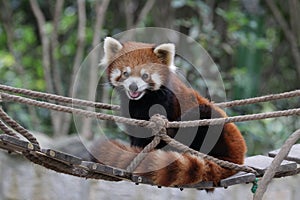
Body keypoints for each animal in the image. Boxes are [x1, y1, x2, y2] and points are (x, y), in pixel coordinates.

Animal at [91, 36, 246, 187]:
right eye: (125, 73)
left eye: (145, 76)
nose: (133, 87)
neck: (143, 100)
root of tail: (238, 157)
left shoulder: (168, 102)